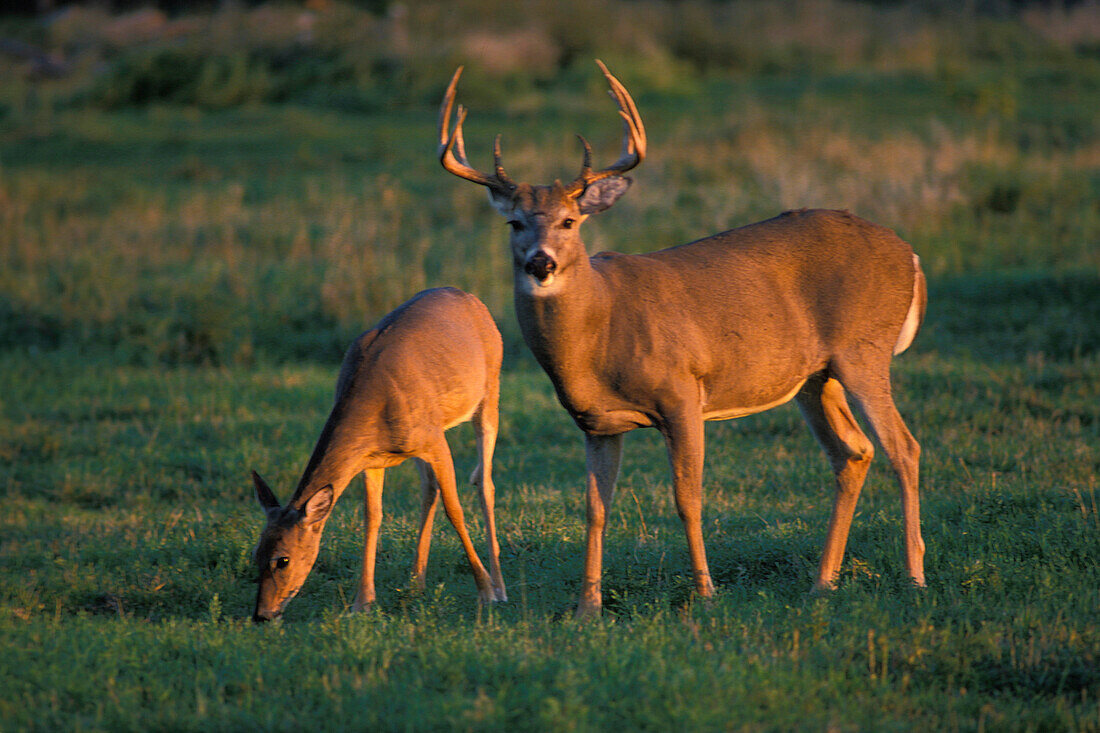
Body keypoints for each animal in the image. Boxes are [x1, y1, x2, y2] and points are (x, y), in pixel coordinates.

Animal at [249, 288, 506, 620]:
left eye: (283, 559)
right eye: (256, 554)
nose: (262, 614)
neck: (373, 400)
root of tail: (472, 298)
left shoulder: (434, 439)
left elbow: (455, 510)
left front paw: (485, 592)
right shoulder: (371, 459)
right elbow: (372, 517)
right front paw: (363, 603)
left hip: (489, 394)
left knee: (484, 482)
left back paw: (499, 586)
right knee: (430, 488)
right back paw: (416, 583)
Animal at [437, 61, 928, 616]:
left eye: (570, 220)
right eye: (514, 222)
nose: (541, 263)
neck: (600, 331)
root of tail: (909, 253)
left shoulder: (682, 392)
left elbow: (687, 498)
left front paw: (706, 593)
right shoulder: (596, 422)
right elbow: (595, 509)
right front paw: (587, 607)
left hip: (865, 350)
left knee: (904, 448)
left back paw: (914, 576)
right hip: (815, 378)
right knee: (854, 453)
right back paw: (823, 582)